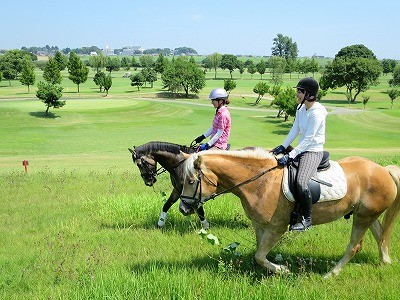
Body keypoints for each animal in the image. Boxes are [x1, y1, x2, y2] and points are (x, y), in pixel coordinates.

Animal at [180, 149, 400, 278]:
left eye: (191, 181)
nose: (183, 209)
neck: (261, 182)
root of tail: (383, 170)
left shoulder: (275, 228)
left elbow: (260, 256)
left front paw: (283, 270)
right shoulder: (260, 226)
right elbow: (259, 253)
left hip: (363, 217)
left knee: (354, 246)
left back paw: (331, 274)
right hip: (366, 214)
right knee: (380, 235)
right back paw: (385, 261)